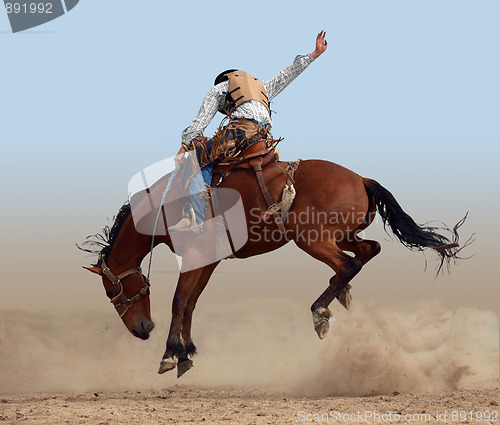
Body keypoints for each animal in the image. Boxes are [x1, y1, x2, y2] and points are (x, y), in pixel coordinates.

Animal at [80, 159, 466, 378]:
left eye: (112, 292)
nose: (142, 330)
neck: (165, 206)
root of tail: (360, 178)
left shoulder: (194, 256)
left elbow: (178, 301)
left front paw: (170, 353)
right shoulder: (208, 261)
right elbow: (190, 303)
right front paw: (186, 352)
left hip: (310, 238)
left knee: (350, 263)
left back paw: (321, 310)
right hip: (341, 234)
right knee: (369, 250)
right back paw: (336, 295)